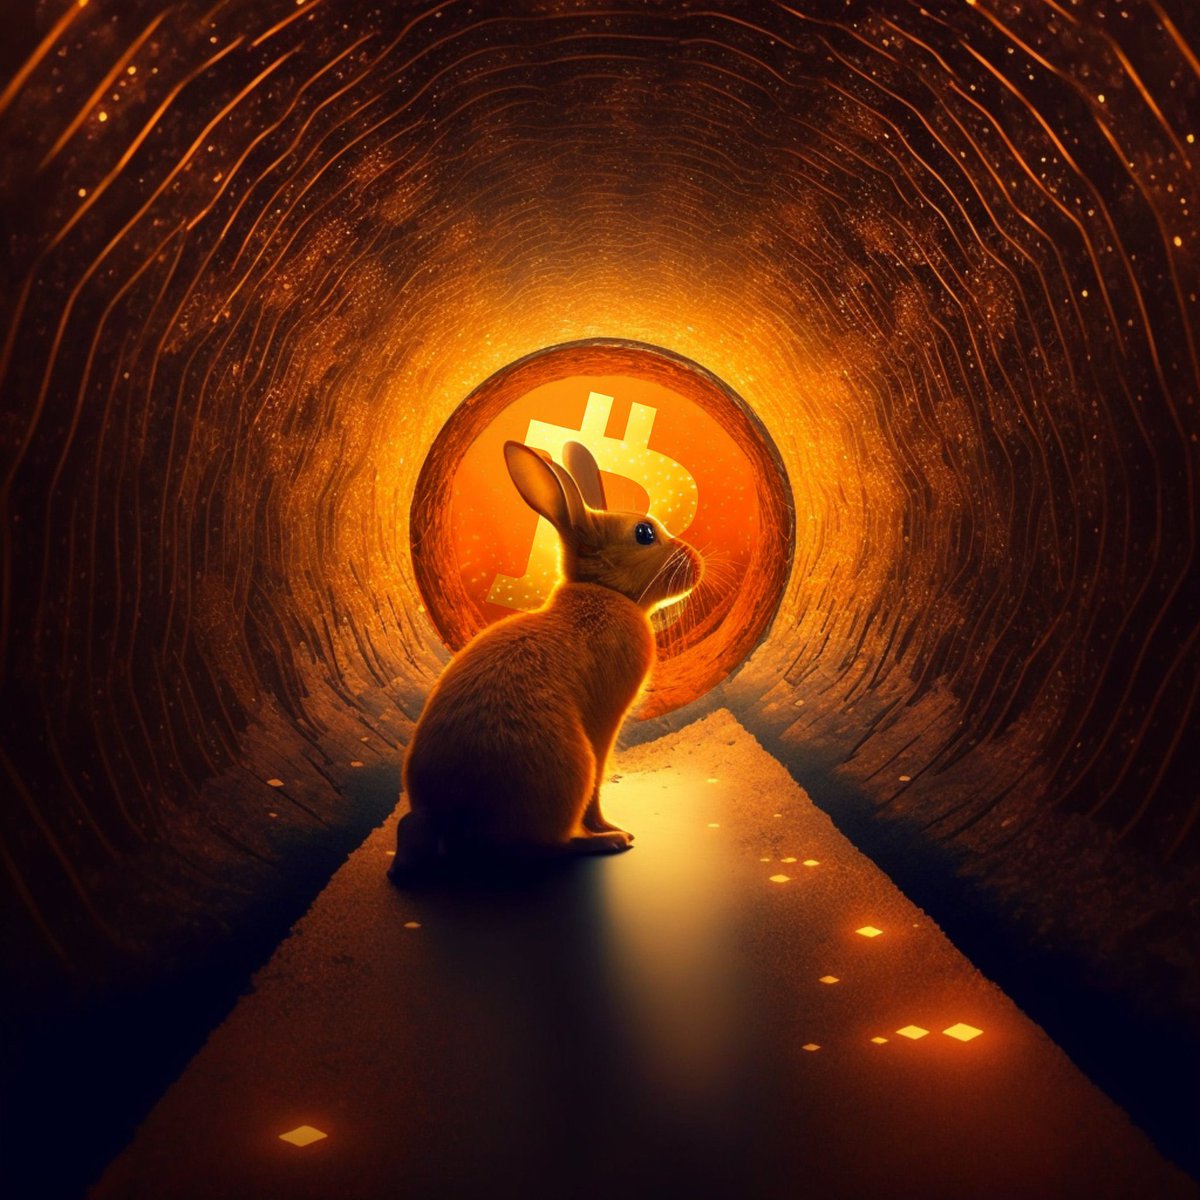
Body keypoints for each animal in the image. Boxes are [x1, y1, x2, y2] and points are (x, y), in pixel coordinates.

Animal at [388, 438, 703, 880]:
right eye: (644, 533)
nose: (697, 562)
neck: (603, 591)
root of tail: (453, 824)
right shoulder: (603, 726)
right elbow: (598, 787)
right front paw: (609, 826)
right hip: (572, 765)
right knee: (549, 846)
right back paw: (607, 841)